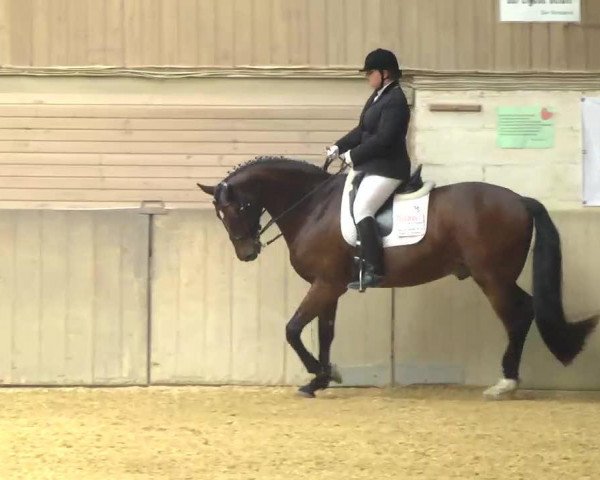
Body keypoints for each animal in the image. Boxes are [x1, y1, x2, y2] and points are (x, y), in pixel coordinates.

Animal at [197, 157, 596, 398]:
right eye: (220, 215)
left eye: (238, 207)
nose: (247, 253)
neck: (313, 207)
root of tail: (520, 200)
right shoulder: (330, 286)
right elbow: (325, 332)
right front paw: (324, 377)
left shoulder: (325, 285)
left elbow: (293, 329)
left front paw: (314, 376)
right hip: (498, 276)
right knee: (526, 310)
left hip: (492, 277)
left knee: (519, 315)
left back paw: (505, 383)